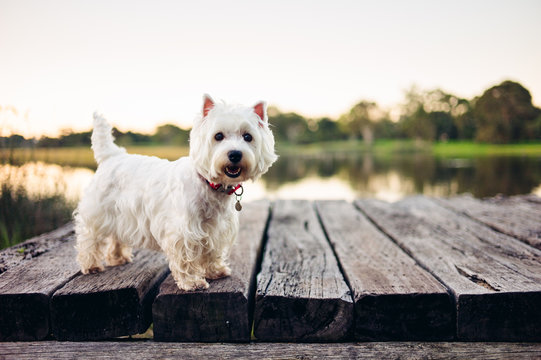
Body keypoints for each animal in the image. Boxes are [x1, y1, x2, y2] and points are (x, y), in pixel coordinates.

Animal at [74, 95, 276, 290]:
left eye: (248, 137)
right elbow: (186, 258)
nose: (235, 154)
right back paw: (91, 265)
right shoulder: (183, 231)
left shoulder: (215, 229)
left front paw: (215, 271)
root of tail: (111, 155)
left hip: (120, 216)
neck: (209, 184)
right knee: (89, 238)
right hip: (98, 212)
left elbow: (212, 251)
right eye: (218, 136)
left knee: (116, 236)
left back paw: (118, 258)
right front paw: (193, 282)